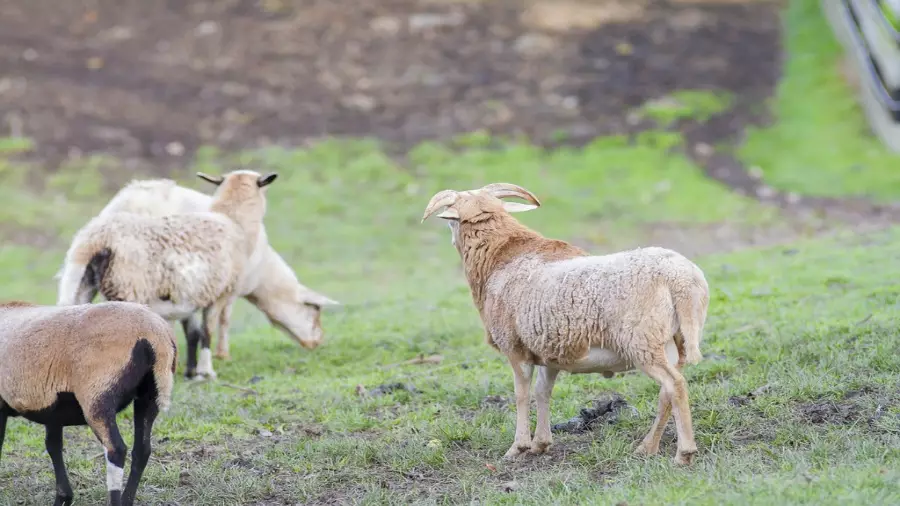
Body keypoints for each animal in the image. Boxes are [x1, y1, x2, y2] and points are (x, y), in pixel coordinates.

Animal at [0, 298, 178, 504]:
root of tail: (152, 334)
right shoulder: (54, 410)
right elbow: (53, 446)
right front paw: (63, 497)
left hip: (97, 397)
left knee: (116, 450)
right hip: (151, 394)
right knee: (142, 450)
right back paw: (127, 500)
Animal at [56, 170, 278, 380]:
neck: (234, 223)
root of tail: (94, 240)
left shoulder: (191, 299)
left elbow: (193, 332)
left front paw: (191, 372)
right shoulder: (219, 294)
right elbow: (207, 332)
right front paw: (206, 372)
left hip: (83, 286)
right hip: (128, 288)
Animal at [422, 182, 712, 466]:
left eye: (450, 222)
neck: (500, 256)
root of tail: (679, 280)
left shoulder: (515, 347)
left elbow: (521, 394)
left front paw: (518, 447)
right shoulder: (549, 349)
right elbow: (543, 392)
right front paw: (541, 444)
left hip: (643, 340)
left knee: (674, 385)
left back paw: (684, 453)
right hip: (673, 341)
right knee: (667, 391)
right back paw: (647, 447)